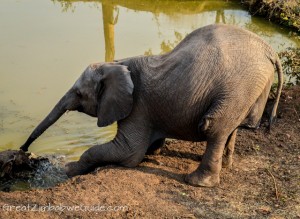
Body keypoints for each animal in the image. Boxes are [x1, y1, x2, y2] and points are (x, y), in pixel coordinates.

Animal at [19, 24, 282, 188]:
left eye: (79, 94)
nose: (23, 150)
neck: (116, 63)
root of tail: (270, 50)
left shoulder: (137, 106)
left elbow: (128, 153)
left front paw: (68, 169)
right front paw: (154, 151)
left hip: (238, 87)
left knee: (214, 128)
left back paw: (196, 182)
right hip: (249, 90)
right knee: (231, 128)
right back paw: (226, 166)